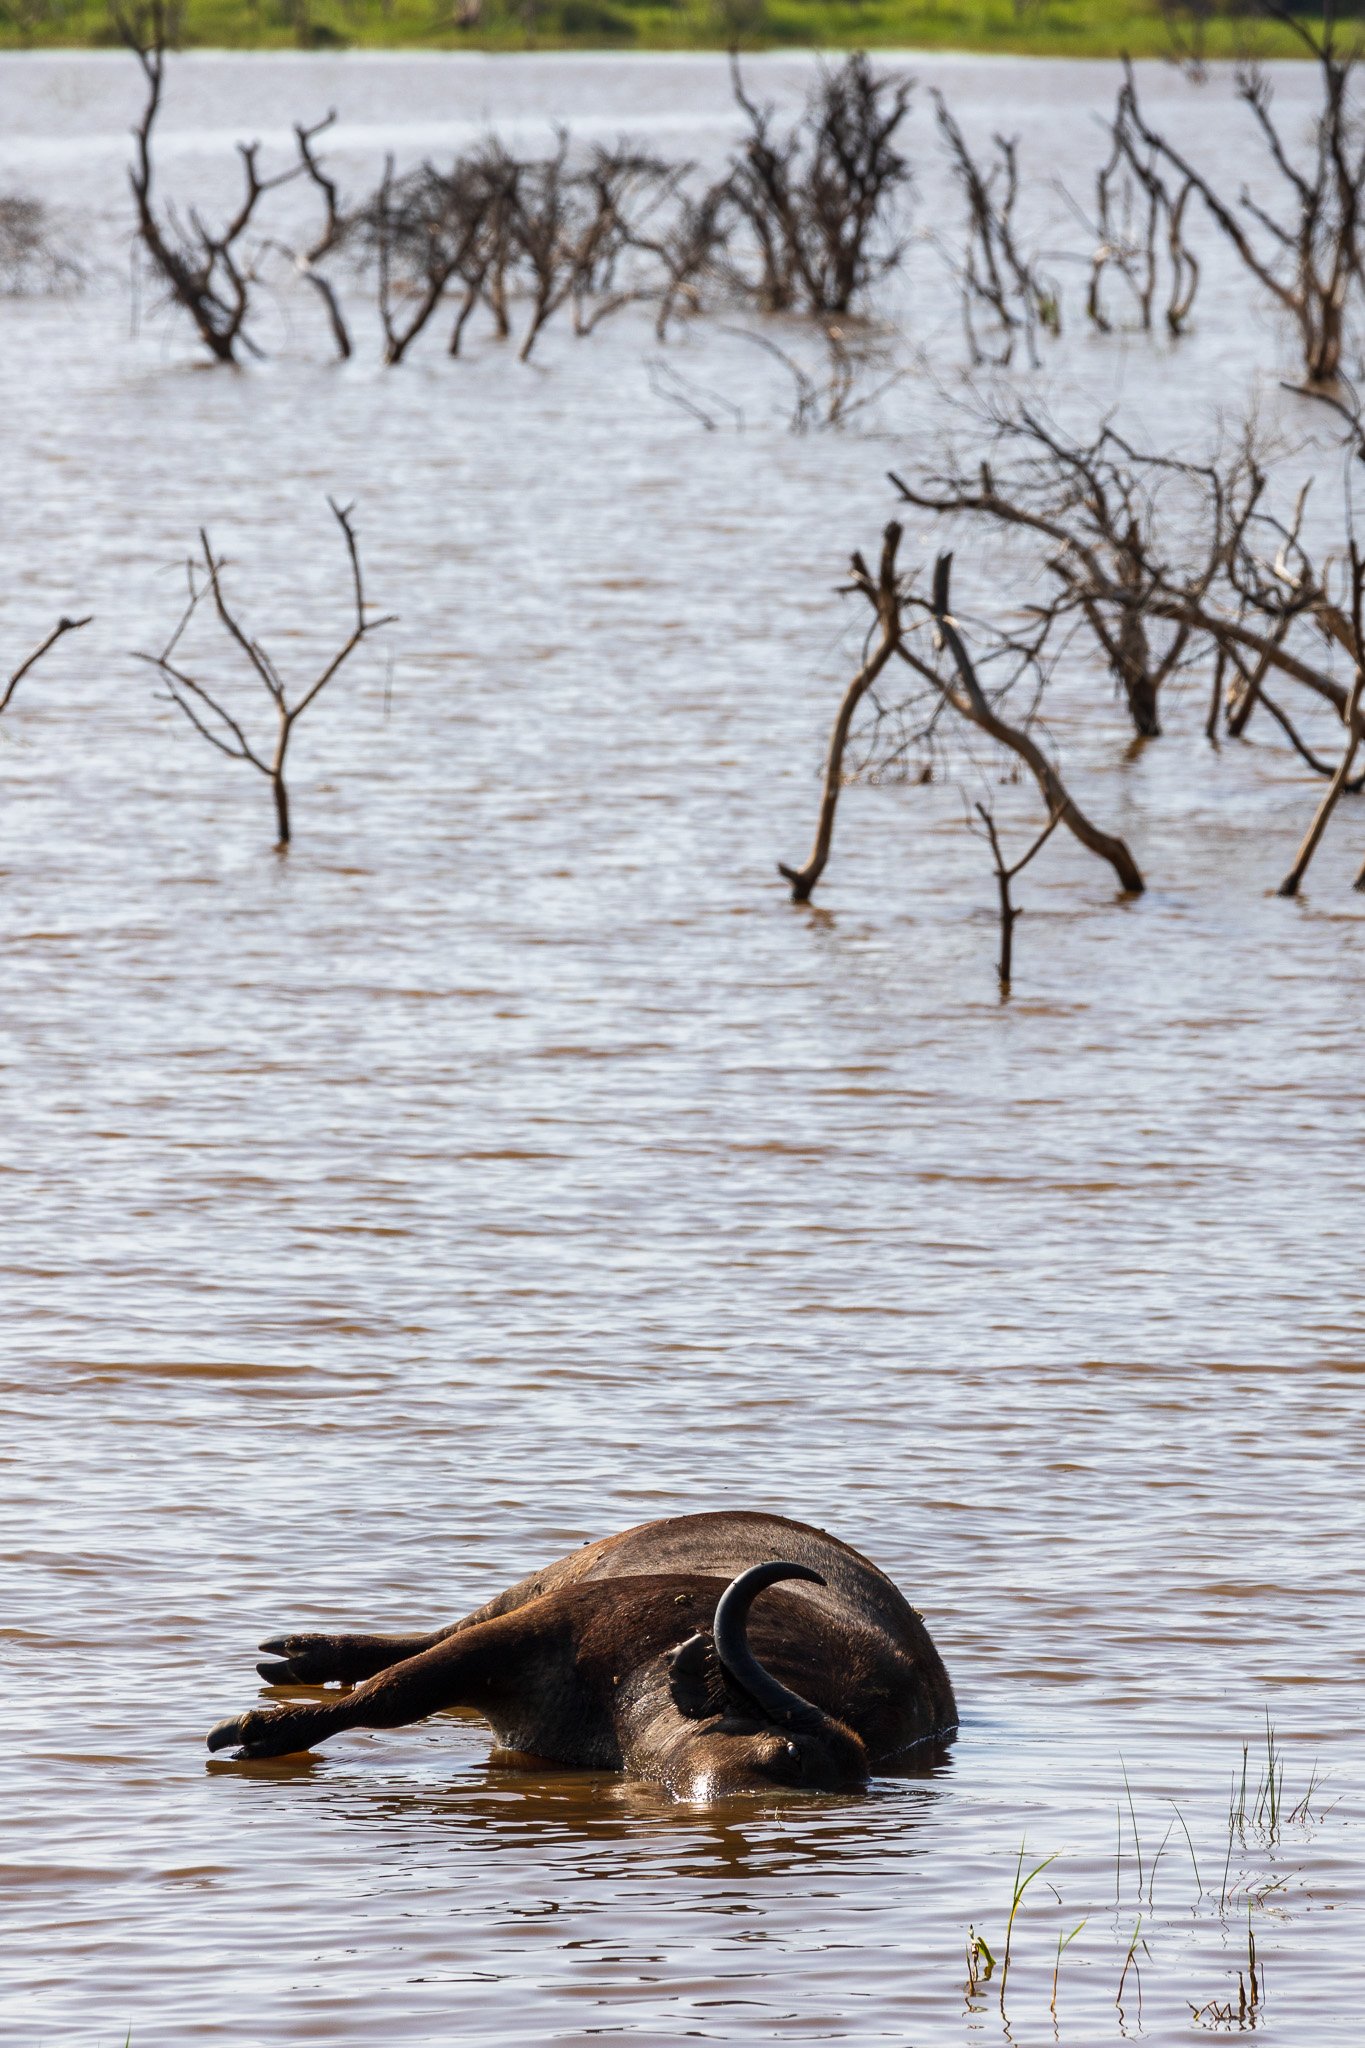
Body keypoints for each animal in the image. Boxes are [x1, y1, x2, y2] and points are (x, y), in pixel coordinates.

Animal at [208, 1507, 957, 1794]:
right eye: (789, 1756)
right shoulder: (533, 1629)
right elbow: (392, 1693)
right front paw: (265, 1729)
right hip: (538, 1585)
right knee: (432, 1635)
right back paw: (305, 1653)